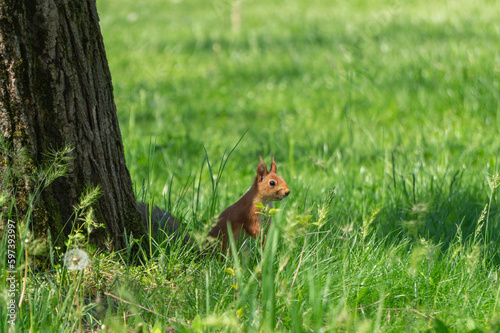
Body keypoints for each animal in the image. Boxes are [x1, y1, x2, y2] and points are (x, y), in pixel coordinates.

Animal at [139, 155, 292, 254]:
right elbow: (253, 229)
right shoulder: (250, 213)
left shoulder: (268, 215)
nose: (287, 192)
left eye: (282, 178)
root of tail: (202, 254)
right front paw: (261, 238)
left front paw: (270, 238)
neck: (265, 202)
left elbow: (268, 227)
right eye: (272, 183)